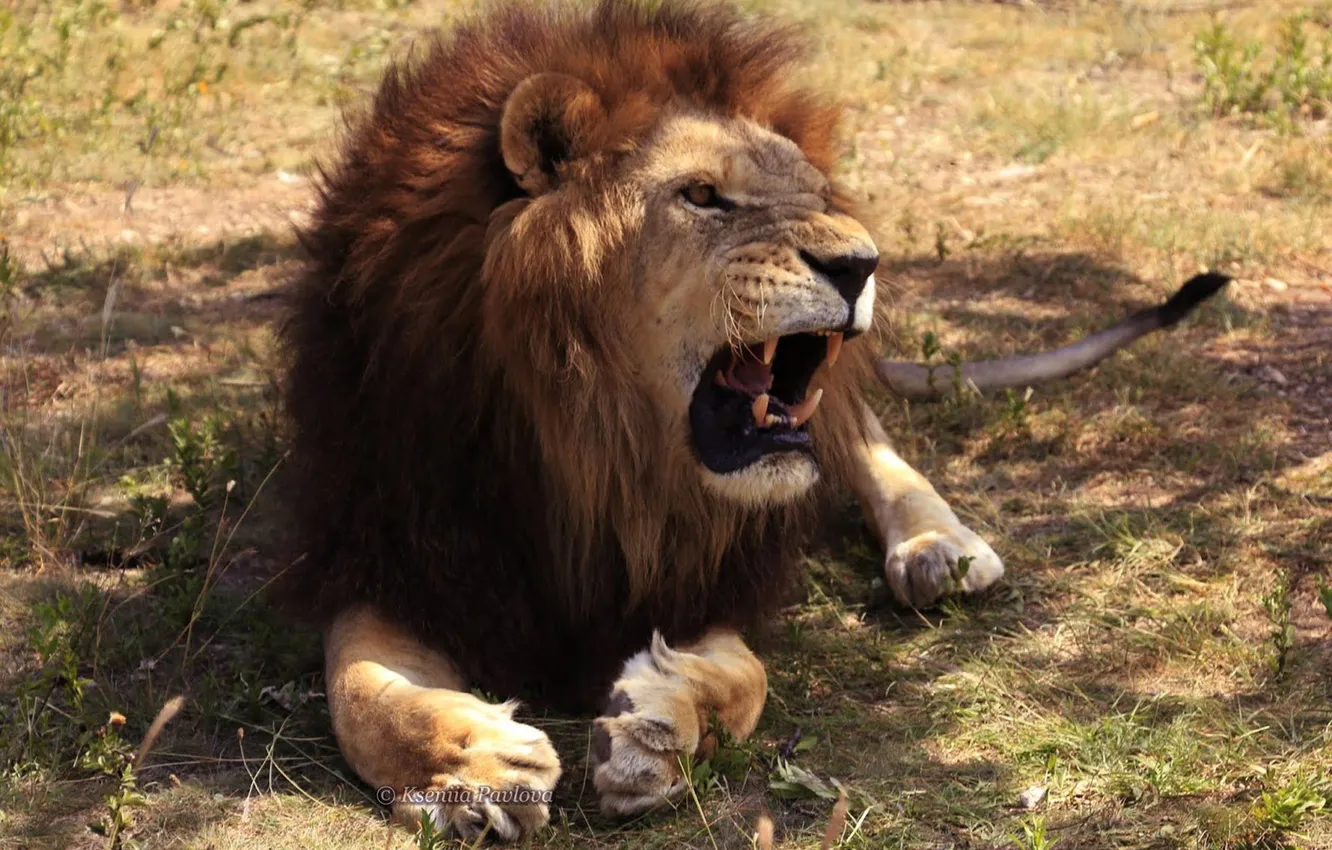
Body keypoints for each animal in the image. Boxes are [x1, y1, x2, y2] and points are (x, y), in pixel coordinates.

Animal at [278, 0, 1227, 840]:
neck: (593, 451)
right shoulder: (394, 545)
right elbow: (364, 694)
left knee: (868, 441)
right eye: (703, 196)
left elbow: (747, 676)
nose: (862, 262)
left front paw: (657, 732)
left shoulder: (707, 561)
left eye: (816, 193)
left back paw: (939, 548)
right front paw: (475, 771)